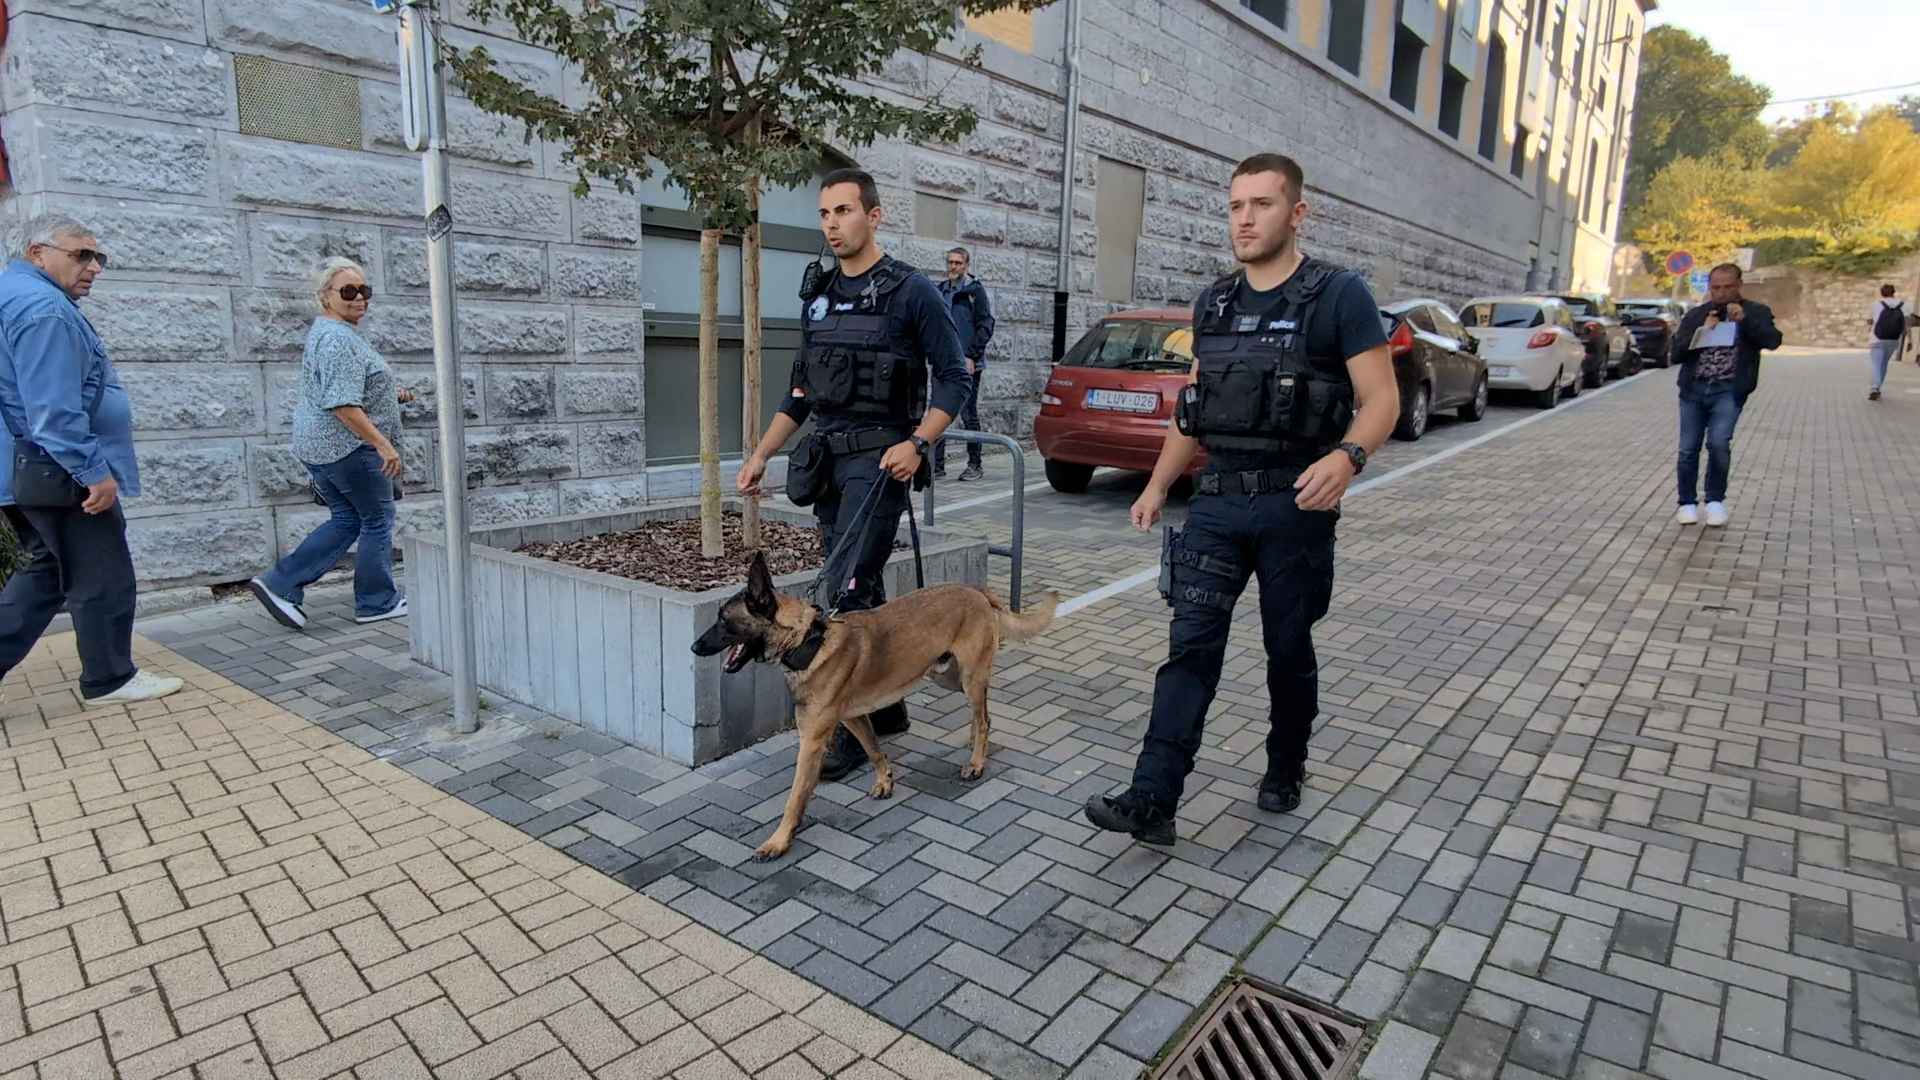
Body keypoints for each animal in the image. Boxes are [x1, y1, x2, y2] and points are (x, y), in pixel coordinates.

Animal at [690, 551, 1058, 860]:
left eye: (724, 620)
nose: (694, 647)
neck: (808, 640)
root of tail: (975, 589)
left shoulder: (811, 742)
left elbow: (795, 798)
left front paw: (778, 841)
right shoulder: (854, 718)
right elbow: (873, 749)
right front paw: (885, 781)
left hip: (968, 676)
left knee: (982, 717)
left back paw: (977, 762)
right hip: (947, 675)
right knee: (982, 715)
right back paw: (975, 745)